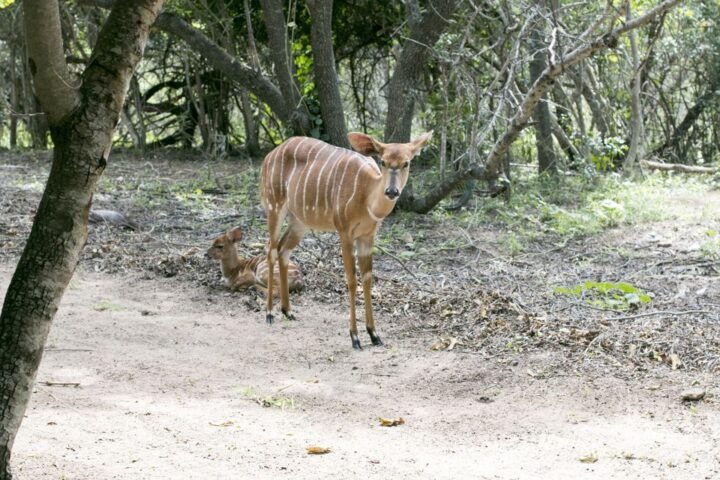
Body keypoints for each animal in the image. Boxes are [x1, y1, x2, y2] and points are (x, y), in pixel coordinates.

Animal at [260, 131, 434, 348]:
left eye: (406, 163)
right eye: (383, 161)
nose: (392, 191)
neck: (367, 197)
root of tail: (270, 154)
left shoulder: (368, 236)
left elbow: (367, 278)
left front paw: (374, 334)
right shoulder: (345, 232)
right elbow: (351, 280)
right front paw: (355, 337)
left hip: (300, 221)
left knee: (283, 249)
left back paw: (288, 311)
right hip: (274, 206)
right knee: (271, 249)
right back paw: (269, 314)